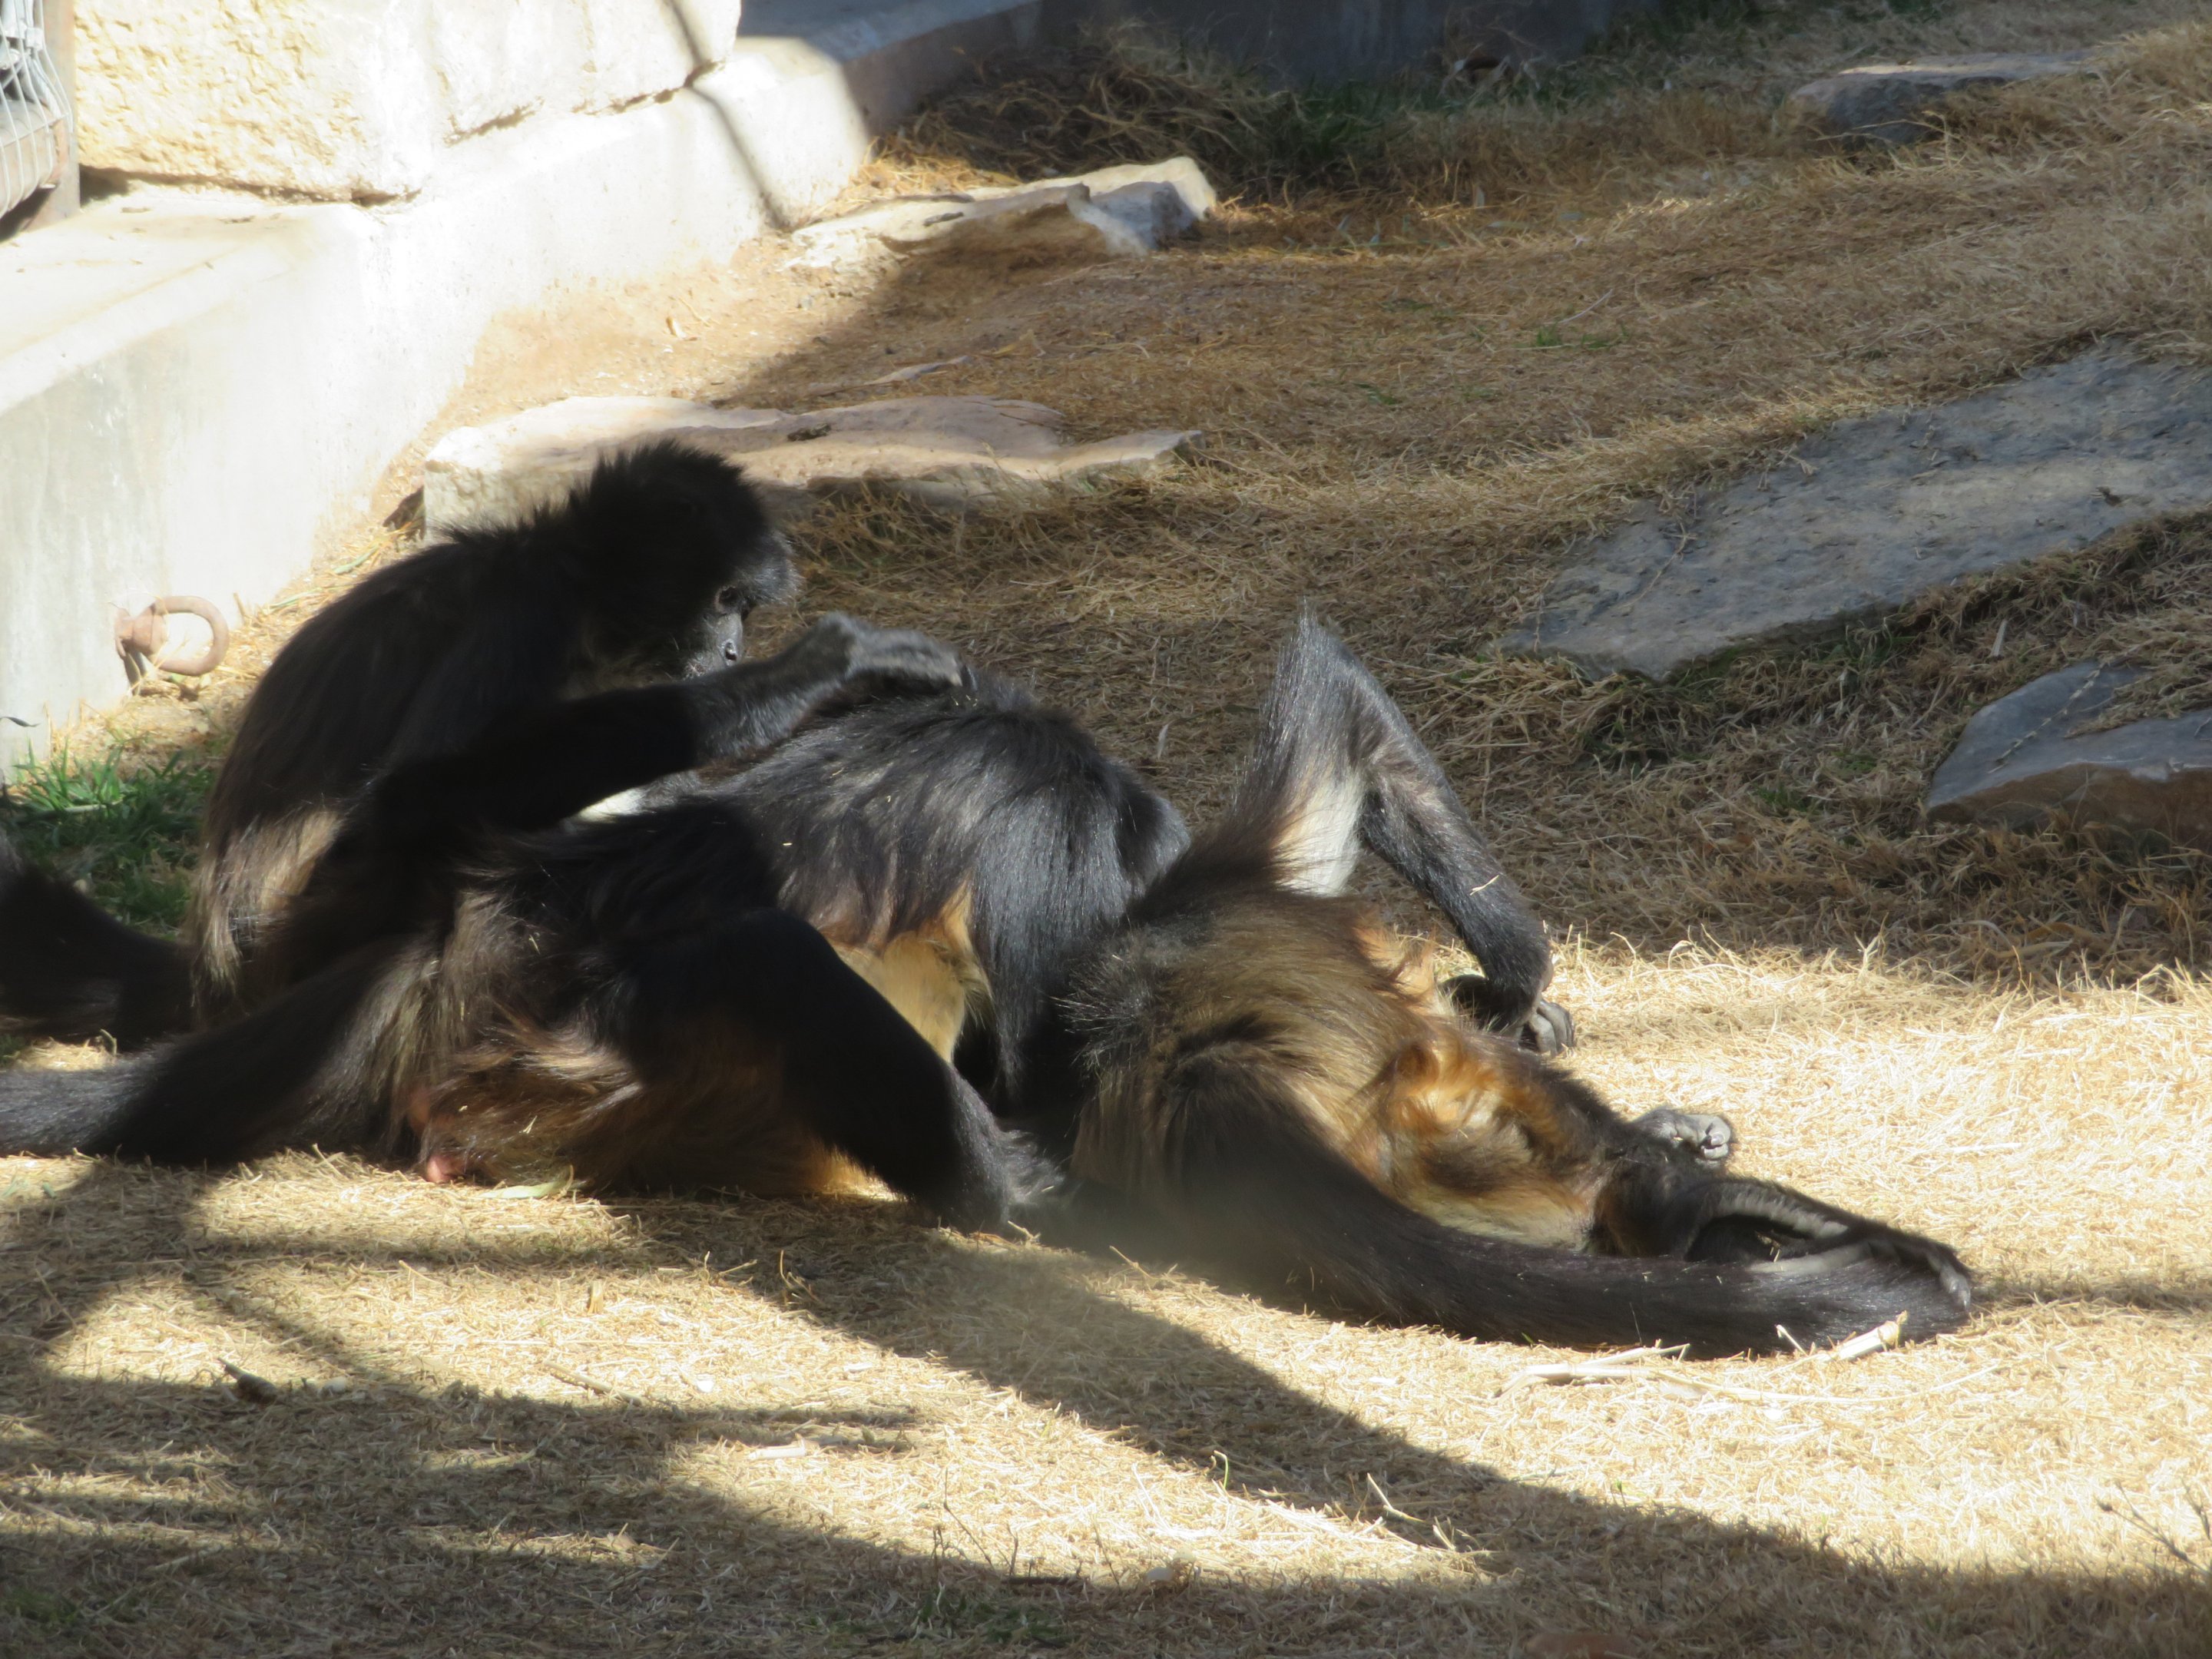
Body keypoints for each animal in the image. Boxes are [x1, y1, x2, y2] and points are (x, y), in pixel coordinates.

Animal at [0, 441, 962, 1046]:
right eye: (726, 602)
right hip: (312, 925)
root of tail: (215, 970)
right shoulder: (523, 609)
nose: (732, 653)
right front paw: (806, 674)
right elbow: (413, 795)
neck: (571, 596)